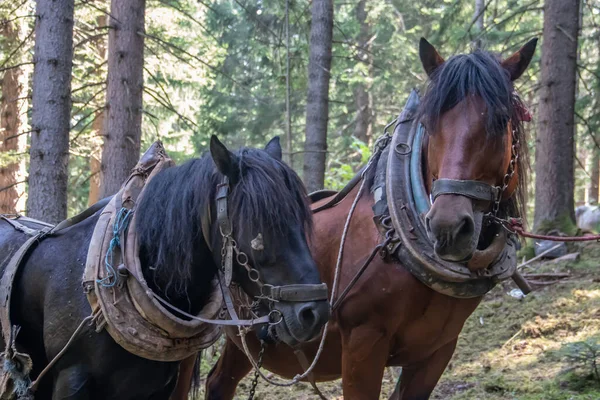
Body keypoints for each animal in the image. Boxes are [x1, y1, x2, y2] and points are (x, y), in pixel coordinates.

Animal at [171, 38, 536, 400]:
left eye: (500, 120)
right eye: (430, 125)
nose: (447, 226)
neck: (398, 239)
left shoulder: (437, 351)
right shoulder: (364, 344)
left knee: (219, 382)